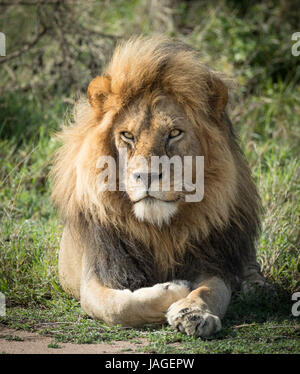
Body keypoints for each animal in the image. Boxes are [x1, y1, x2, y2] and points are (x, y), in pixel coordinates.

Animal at [51, 36, 264, 338]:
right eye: (127, 135)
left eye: (174, 133)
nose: (147, 175)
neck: (159, 231)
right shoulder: (96, 275)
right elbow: (119, 306)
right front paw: (176, 288)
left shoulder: (211, 260)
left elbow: (210, 290)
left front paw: (194, 312)